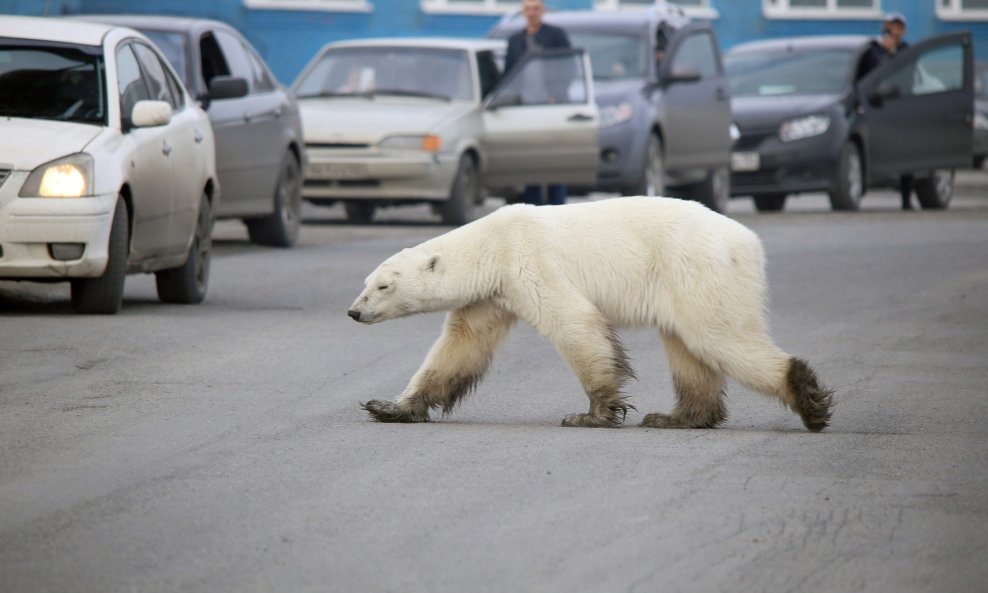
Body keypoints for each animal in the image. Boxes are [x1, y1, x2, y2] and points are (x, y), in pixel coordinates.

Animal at [348, 197, 832, 432]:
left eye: (384, 286)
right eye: (366, 281)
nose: (353, 311)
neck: (493, 244)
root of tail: (747, 241)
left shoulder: (530, 262)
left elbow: (575, 324)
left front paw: (592, 415)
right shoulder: (490, 296)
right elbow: (460, 347)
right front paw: (388, 406)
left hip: (696, 268)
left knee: (718, 336)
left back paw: (808, 398)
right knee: (687, 348)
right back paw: (676, 417)